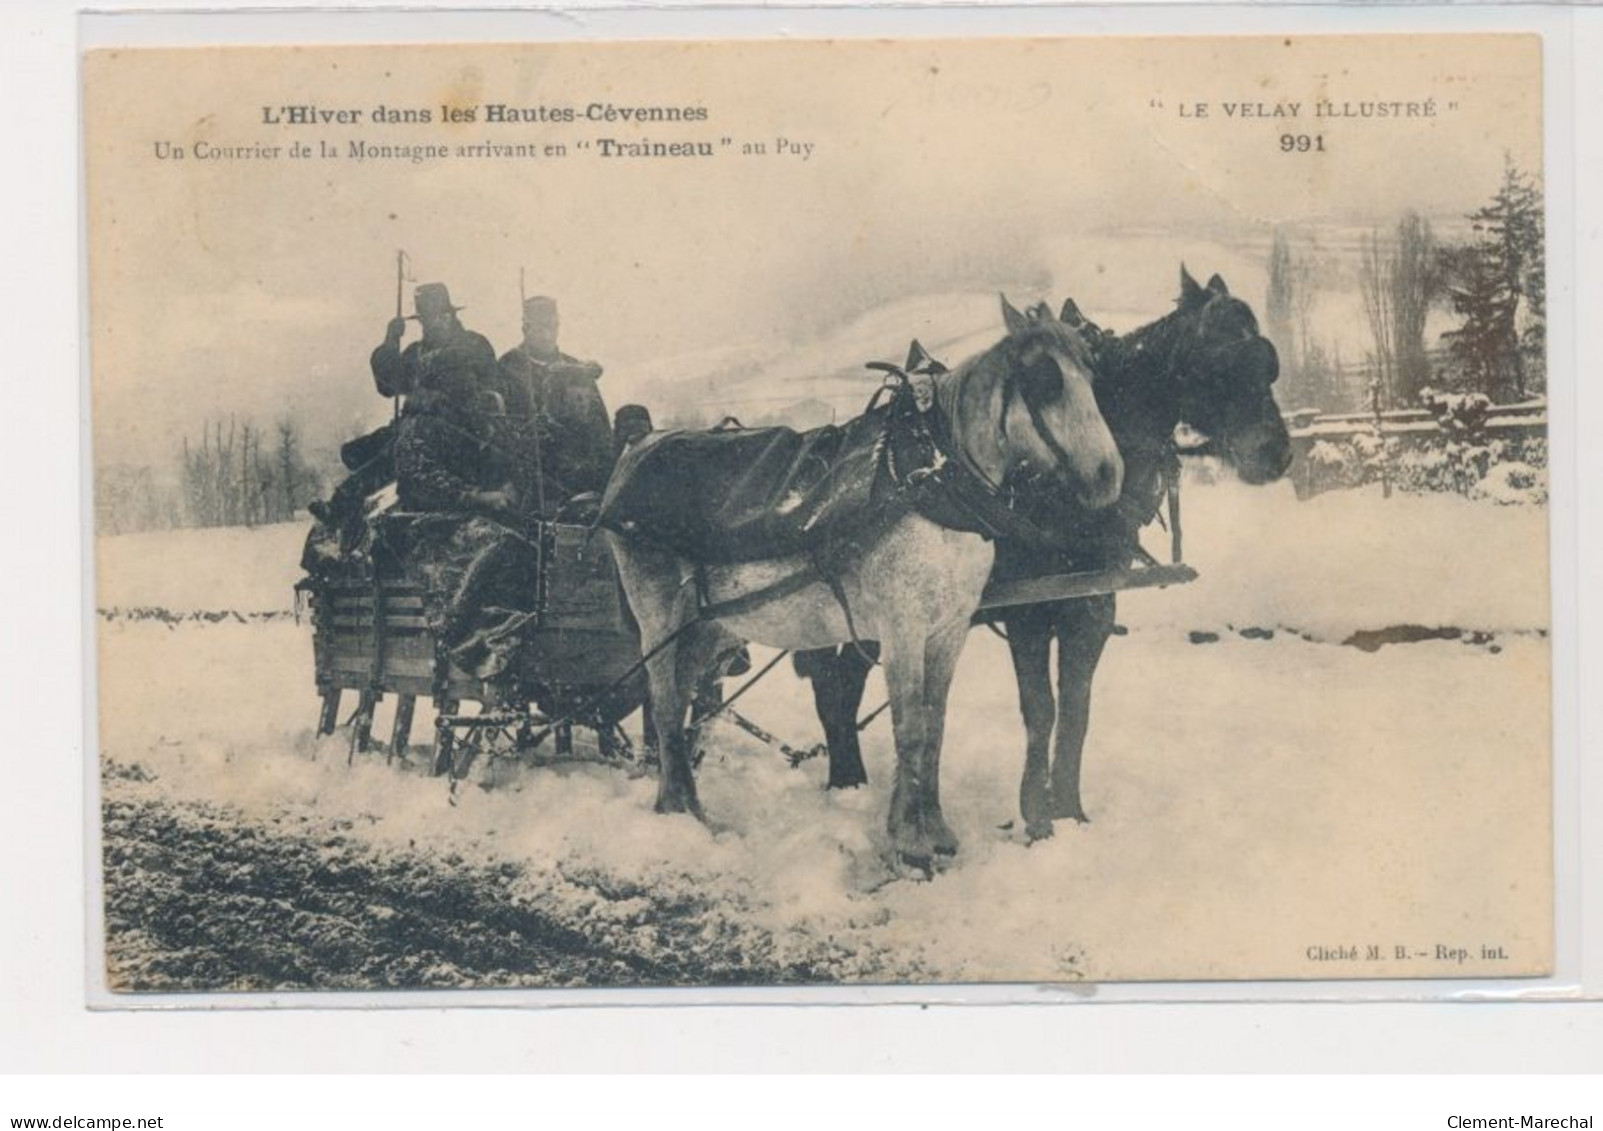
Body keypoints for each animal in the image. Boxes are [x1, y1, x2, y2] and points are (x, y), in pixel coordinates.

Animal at [596, 297, 1122, 865]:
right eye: (1044, 379)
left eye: (1093, 370)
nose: (1108, 475)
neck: (931, 480)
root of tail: (635, 451)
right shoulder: (901, 628)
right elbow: (910, 728)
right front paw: (908, 842)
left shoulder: (949, 629)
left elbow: (935, 724)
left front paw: (937, 830)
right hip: (659, 616)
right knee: (665, 700)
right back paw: (677, 809)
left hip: (712, 626)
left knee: (685, 695)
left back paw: (689, 800)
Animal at [801, 265, 1288, 839]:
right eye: (1213, 364)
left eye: (1267, 359)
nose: (1275, 453)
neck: (1057, 490)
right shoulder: (1028, 611)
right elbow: (1041, 708)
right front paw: (1036, 814)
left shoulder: (1094, 605)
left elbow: (1077, 710)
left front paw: (1069, 808)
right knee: (832, 682)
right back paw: (845, 780)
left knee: (845, 680)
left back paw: (850, 777)